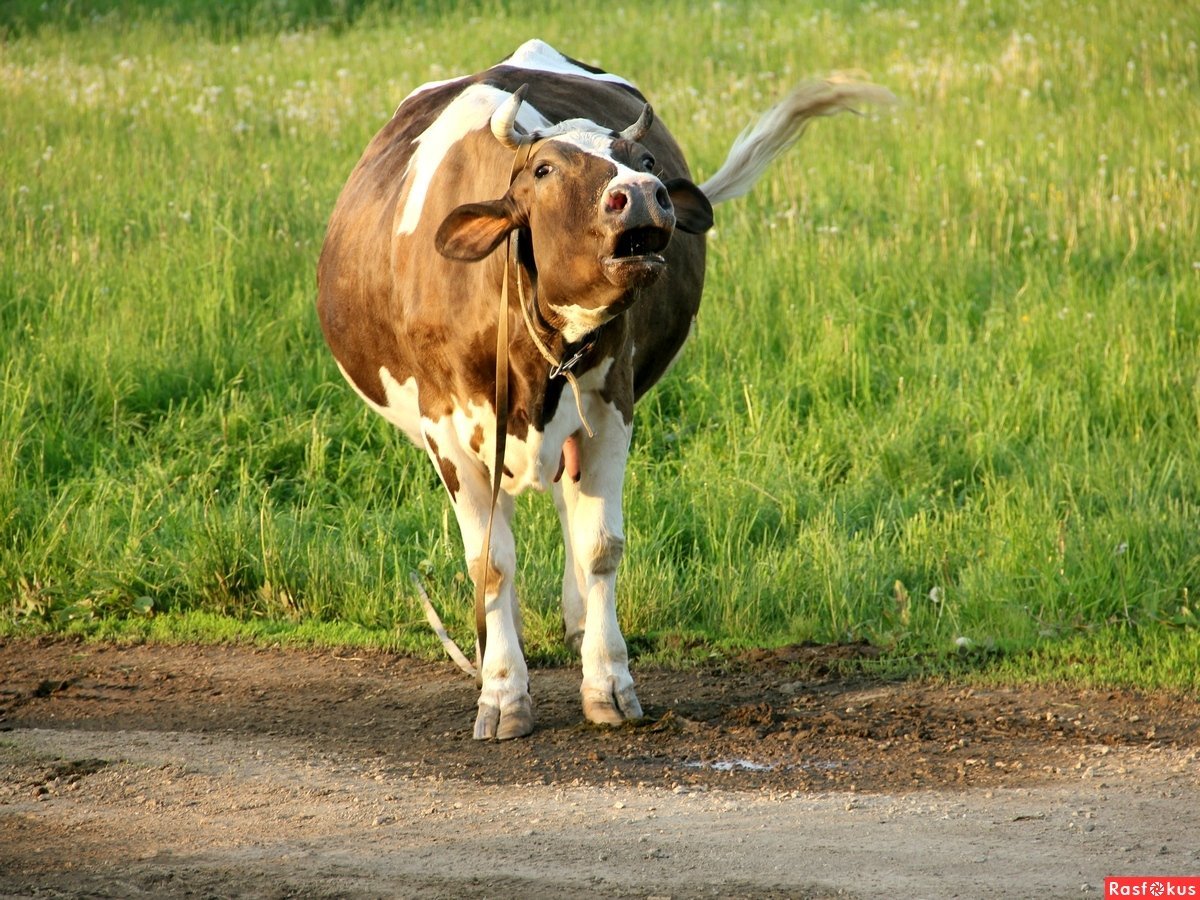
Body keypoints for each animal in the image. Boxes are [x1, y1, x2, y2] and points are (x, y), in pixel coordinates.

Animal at [317, 40, 891, 740]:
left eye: (644, 162)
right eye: (543, 170)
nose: (642, 194)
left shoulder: (610, 406)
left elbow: (599, 545)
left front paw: (609, 683)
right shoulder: (445, 429)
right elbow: (490, 561)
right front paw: (502, 692)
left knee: (570, 509)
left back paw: (577, 622)